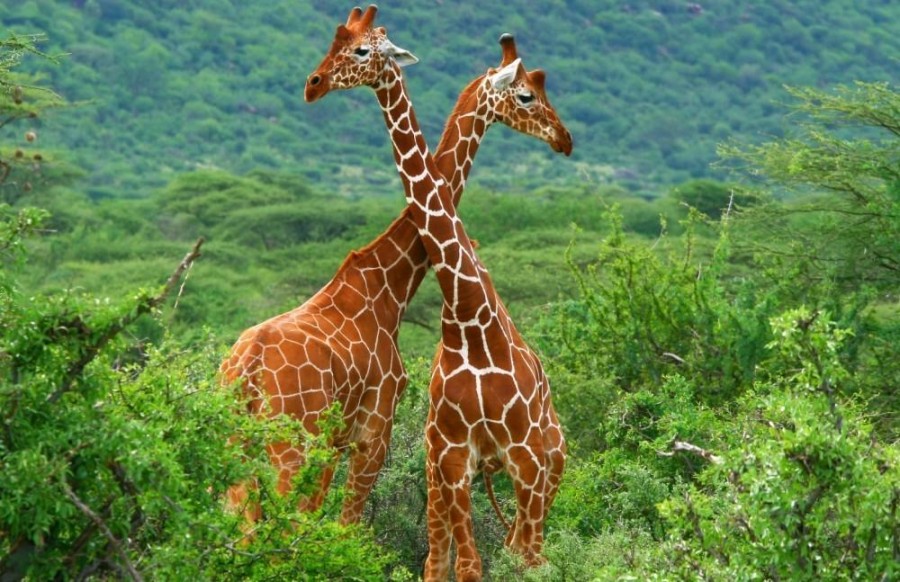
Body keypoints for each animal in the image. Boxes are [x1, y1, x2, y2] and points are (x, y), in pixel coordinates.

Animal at [220, 9, 568, 532]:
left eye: (357, 48)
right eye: (527, 93)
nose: (564, 138)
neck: (390, 286)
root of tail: (247, 370)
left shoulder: (339, 440)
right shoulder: (374, 430)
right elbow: (345, 528)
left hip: (236, 444)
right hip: (289, 446)